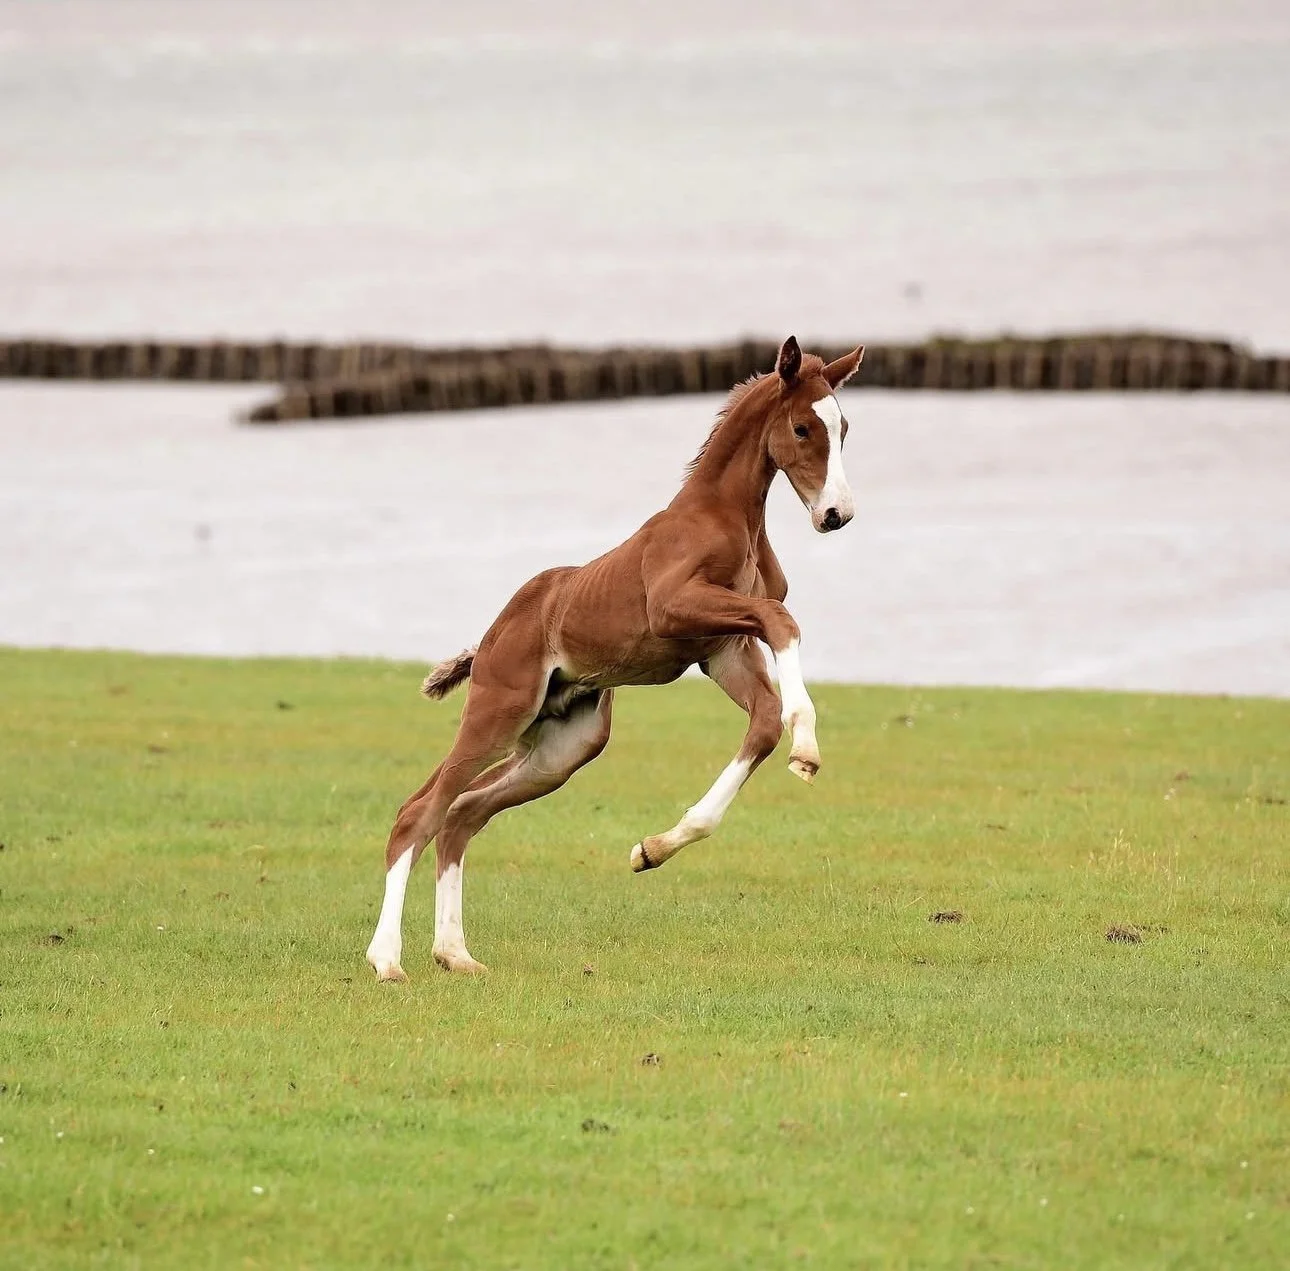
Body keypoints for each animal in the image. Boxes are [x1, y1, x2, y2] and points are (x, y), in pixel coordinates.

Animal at [365, 335, 863, 979]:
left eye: (844, 428)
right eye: (802, 428)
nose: (836, 515)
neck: (726, 516)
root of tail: (492, 636)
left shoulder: (723, 649)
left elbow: (763, 720)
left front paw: (651, 850)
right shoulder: (676, 608)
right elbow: (784, 625)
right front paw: (807, 749)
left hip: (564, 748)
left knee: (463, 813)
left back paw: (455, 952)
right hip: (498, 712)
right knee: (420, 812)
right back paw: (386, 959)